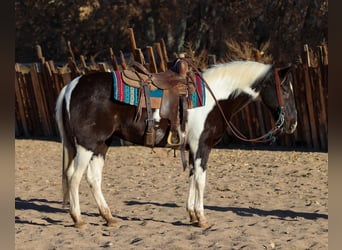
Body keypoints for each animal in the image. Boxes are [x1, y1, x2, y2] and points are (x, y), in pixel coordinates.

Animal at [55, 59, 296, 228]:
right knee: (74, 176)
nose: (292, 124)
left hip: (101, 144)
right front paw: (202, 218)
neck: (213, 97)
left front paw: (192, 214)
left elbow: (192, 177)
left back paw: (109, 218)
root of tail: (71, 86)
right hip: (87, 145)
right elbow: (201, 180)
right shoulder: (202, 146)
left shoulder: (192, 148)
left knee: (93, 178)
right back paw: (78, 219)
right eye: (285, 90)